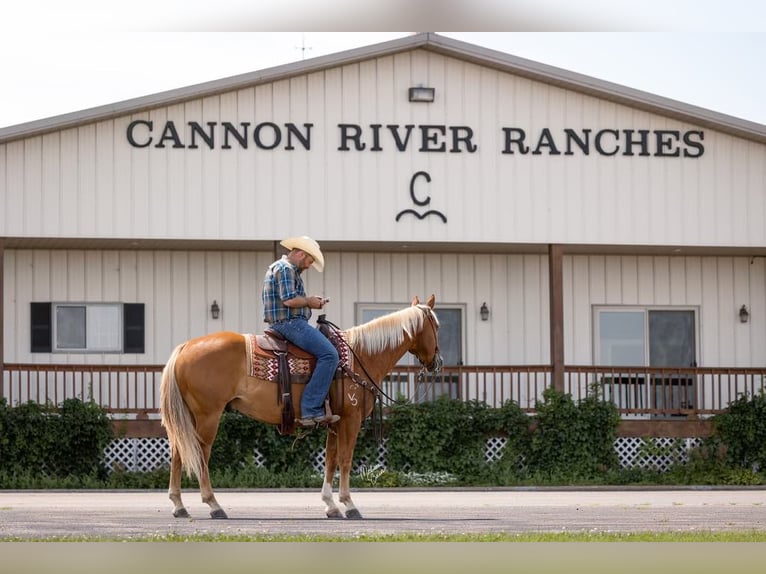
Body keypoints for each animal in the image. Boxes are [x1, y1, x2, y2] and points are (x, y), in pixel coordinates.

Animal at [159, 296, 440, 520]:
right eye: (436, 326)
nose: (436, 362)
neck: (360, 356)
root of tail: (185, 348)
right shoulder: (351, 419)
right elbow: (346, 460)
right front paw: (349, 505)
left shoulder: (335, 422)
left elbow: (331, 460)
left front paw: (330, 506)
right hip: (208, 415)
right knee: (200, 455)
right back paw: (214, 505)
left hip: (189, 416)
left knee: (178, 453)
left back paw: (179, 506)